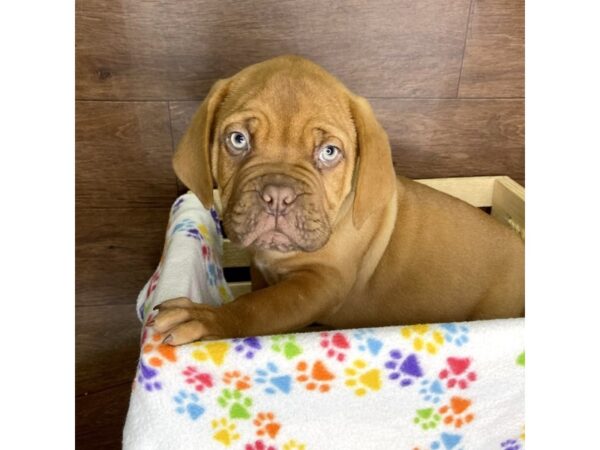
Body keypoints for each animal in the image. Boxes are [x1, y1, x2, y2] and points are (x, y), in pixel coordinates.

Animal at [152, 55, 524, 344]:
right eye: (238, 139)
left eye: (329, 152)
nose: (278, 197)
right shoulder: (261, 268)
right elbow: (259, 294)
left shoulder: (320, 283)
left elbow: (259, 307)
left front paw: (209, 319)